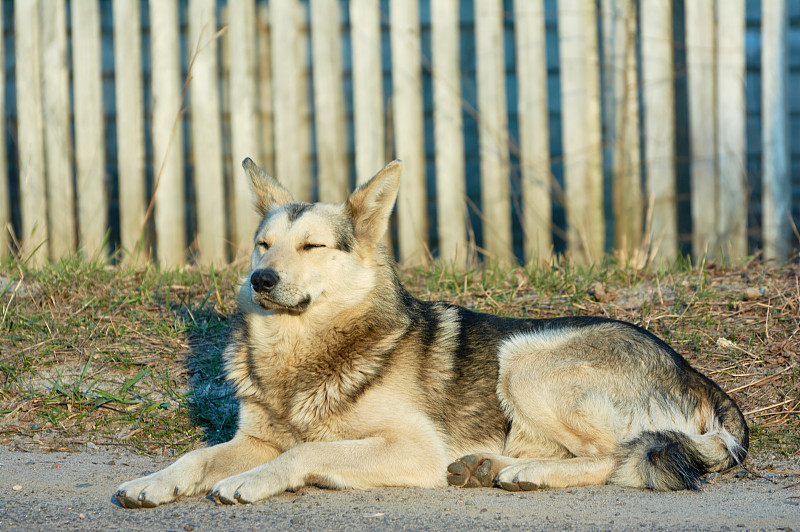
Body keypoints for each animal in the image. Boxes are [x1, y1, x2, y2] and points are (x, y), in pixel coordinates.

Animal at [114, 158, 752, 508]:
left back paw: (527, 474)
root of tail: (700, 378)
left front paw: (254, 481)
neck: (302, 348)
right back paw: (486, 466)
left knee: (612, 457)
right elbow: (196, 455)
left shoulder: (413, 449)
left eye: (312, 246)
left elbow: (309, 448)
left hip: (525, 358)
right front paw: (153, 482)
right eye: (262, 245)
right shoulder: (253, 439)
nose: (260, 280)